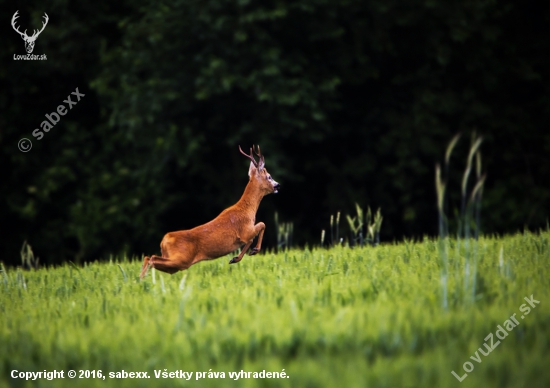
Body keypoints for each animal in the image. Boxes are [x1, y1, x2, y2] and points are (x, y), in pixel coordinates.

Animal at [140, 146, 282, 278]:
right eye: (269, 177)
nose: (278, 185)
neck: (247, 210)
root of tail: (164, 240)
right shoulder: (245, 231)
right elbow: (261, 226)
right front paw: (253, 251)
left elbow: (254, 235)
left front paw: (235, 258)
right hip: (181, 259)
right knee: (151, 259)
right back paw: (142, 280)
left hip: (173, 261)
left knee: (149, 258)